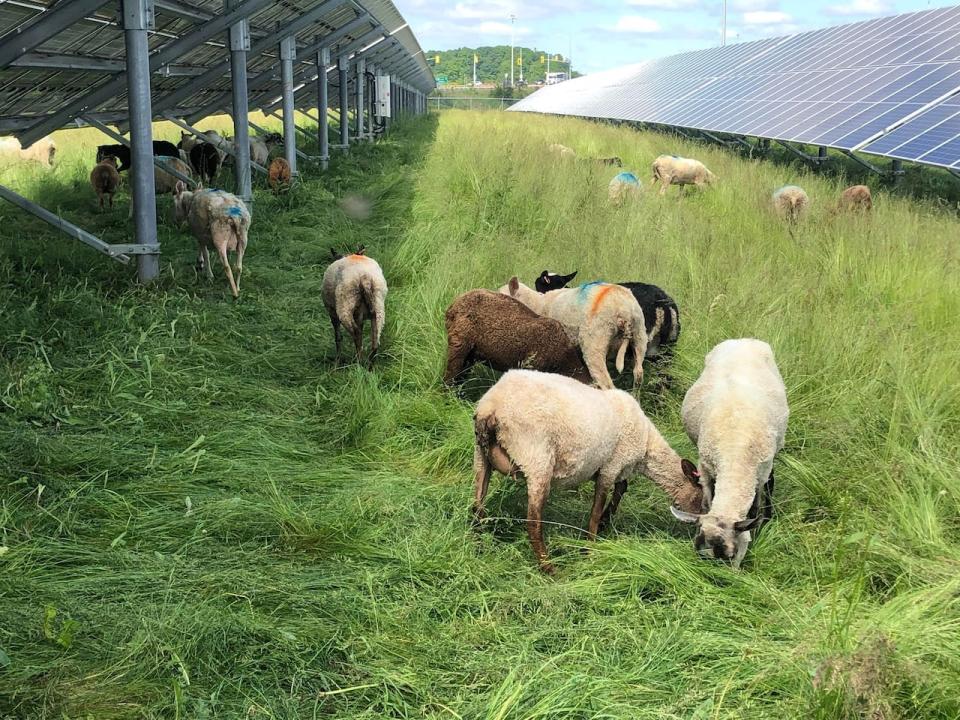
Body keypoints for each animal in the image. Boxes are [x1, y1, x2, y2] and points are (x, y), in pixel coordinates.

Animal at [474, 372, 704, 572]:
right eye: (702, 500)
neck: (647, 445)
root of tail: (491, 407)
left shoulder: (617, 468)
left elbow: (622, 488)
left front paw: (605, 521)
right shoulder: (611, 467)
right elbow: (596, 510)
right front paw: (590, 550)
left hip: (481, 458)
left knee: (477, 507)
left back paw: (480, 548)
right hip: (536, 458)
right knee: (533, 523)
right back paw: (550, 569)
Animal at [498, 278, 648, 390]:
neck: (537, 304)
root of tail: (625, 309)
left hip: (595, 340)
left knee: (607, 384)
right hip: (640, 334)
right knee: (638, 374)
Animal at [668, 340, 788, 572]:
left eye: (732, 555)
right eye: (698, 554)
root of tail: (743, 339)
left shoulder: (758, 477)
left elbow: (756, 510)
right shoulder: (705, 469)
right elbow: (707, 503)